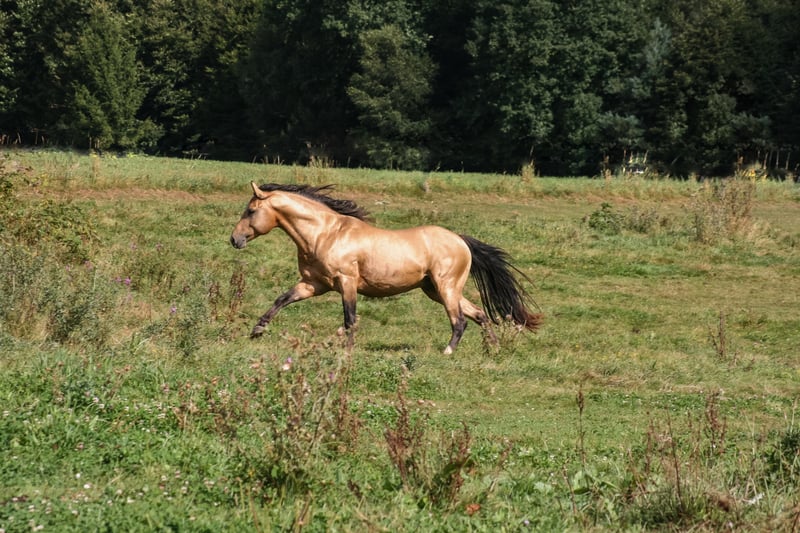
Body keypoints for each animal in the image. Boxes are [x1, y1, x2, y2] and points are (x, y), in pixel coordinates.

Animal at [230, 182, 542, 353]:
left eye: (251, 211)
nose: (234, 240)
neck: (325, 234)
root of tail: (461, 240)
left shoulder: (346, 282)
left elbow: (350, 319)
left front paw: (347, 350)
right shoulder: (313, 284)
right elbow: (282, 299)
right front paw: (257, 329)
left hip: (446, 287)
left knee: (460, 320)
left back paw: (448, 351)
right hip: (435, 290)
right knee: (478, 313)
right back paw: (493, 348)